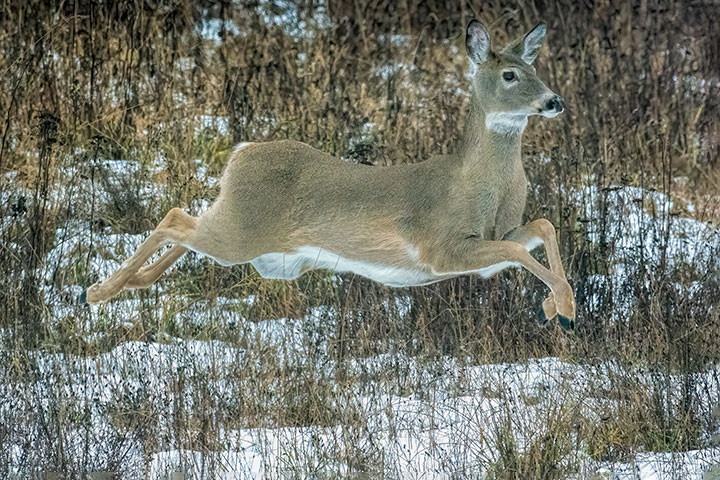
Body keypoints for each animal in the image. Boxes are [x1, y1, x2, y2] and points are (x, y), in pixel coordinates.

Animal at [82, 20, 576, 330]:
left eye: (535, 68)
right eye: (510, 74)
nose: (555, 101)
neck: (480, 183)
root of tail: (240, 153)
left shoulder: (493, 240)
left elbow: (539, 228)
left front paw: (553, 305)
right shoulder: (441, 246)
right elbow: (517, 246)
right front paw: (566, 308)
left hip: (249, 240)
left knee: (185, 225)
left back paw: (130, 284)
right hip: (240, 232)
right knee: (174, 219)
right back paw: (98, 291)